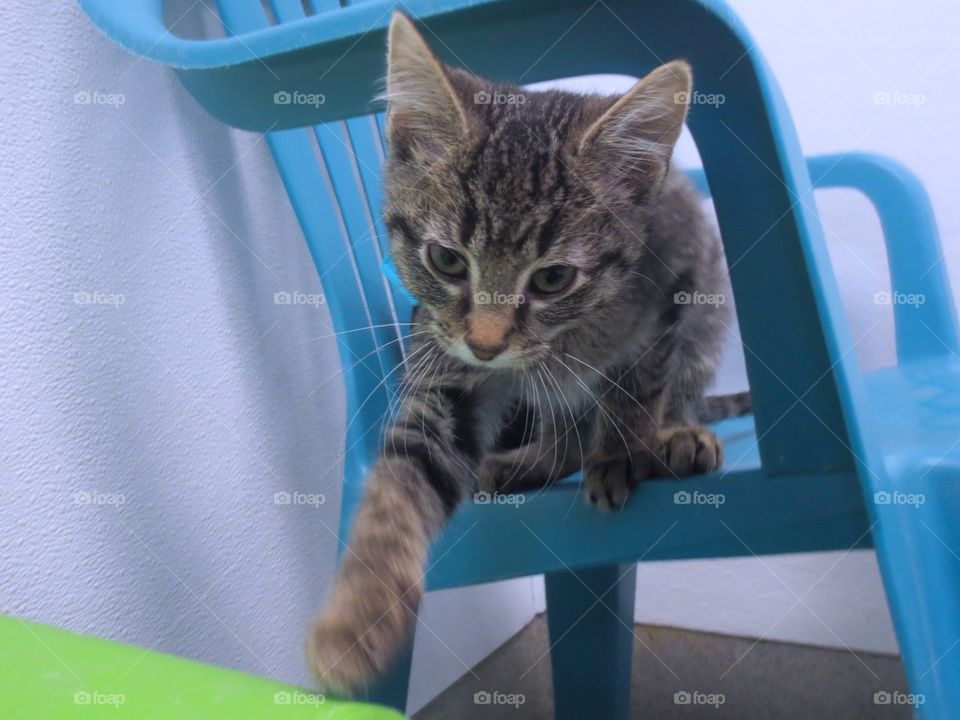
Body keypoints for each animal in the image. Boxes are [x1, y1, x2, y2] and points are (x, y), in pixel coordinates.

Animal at [304, 11, 748, 696]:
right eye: (447, 260)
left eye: (552, 278)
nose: (486, 344)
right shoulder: (444, 360)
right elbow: (406, 474)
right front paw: (356, 615)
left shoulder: (677, 277)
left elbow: (637, 383)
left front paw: (622, 451)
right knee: (561, 430)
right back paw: (530, 460)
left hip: (709, 315)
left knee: (673, 388)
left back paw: (674, 436)